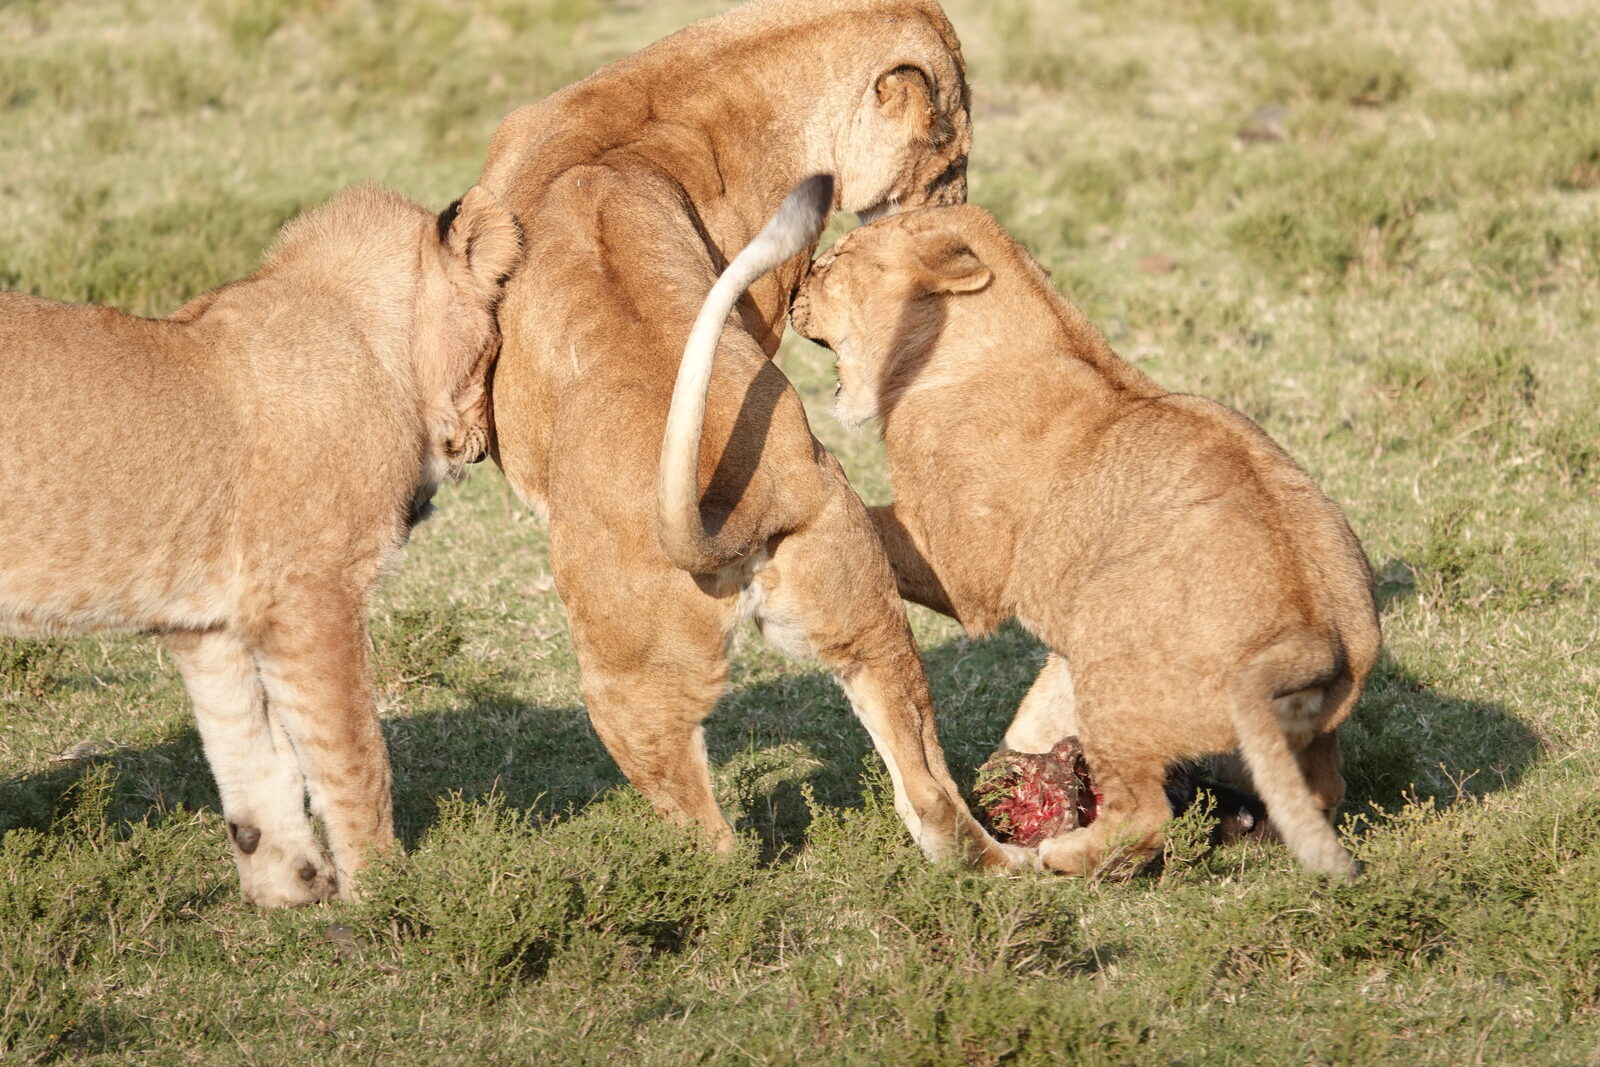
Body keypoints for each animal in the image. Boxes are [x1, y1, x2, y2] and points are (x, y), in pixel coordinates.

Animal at [0, 183, 523, 906]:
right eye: (498, 340)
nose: (484, 440)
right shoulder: (309, 595)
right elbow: (353, 755)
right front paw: (386, 893)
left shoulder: (209, 623)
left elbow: (253, 754)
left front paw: (290, 886)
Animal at [479, 0, 1024, 868]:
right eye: (951, 158)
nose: (959, 218)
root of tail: (739, 510)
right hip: (869, 616)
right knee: (934, 797)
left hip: (626, 685)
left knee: (717, 844)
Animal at [790, 204, 1381, 878]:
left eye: (838, 259)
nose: (796, 283)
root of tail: (1316, 637)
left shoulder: (960, 574)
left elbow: (863, 518)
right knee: (1324, 790)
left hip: (1112, 671)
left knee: (1144, 817)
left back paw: (1058, 854)